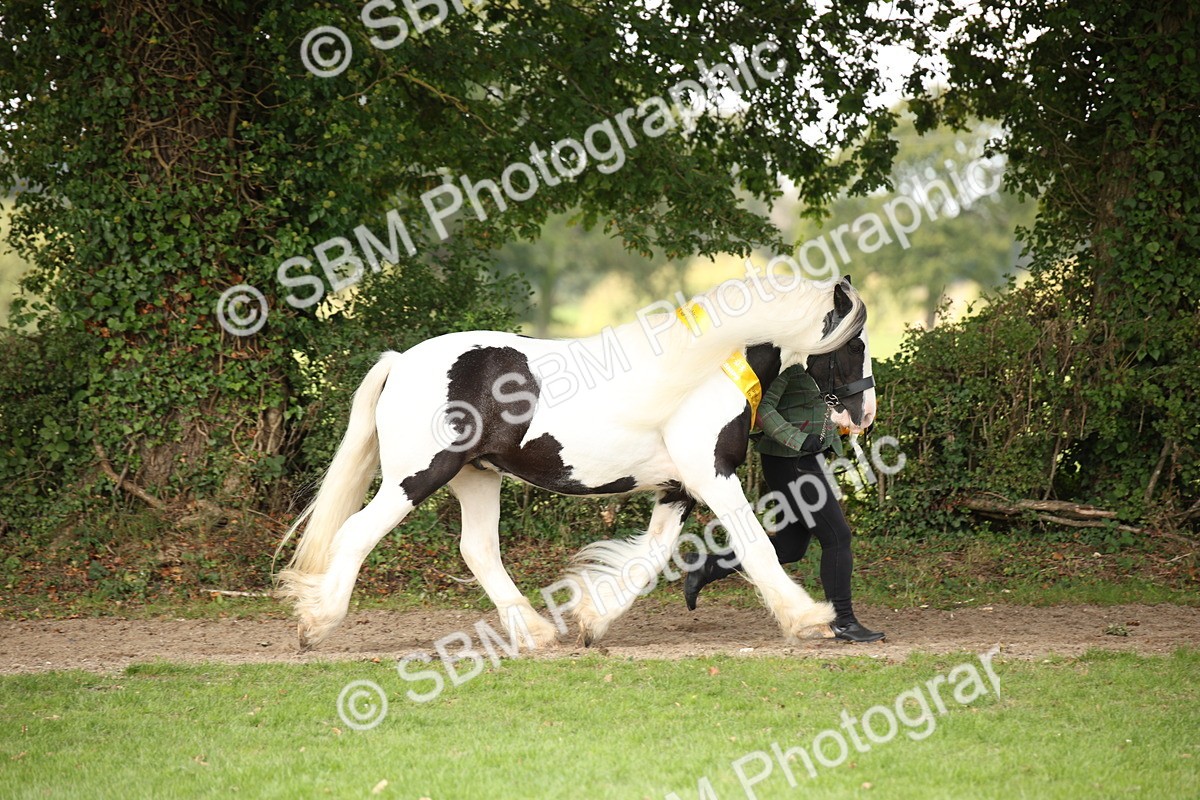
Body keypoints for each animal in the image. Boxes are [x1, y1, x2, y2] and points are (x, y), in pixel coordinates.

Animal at [276, 274, 876, 652]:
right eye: (854, 343)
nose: (863, 414)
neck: (708, 370)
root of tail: (401, 362)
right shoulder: (713, 477)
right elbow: (757, 548)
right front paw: (812, 620)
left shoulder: (678, 488)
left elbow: (648, 559)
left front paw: (591, 621)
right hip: (418, 475)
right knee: (357, 533)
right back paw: (314, 625)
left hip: (477, 478)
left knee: (478, 550)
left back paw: (537, 633)